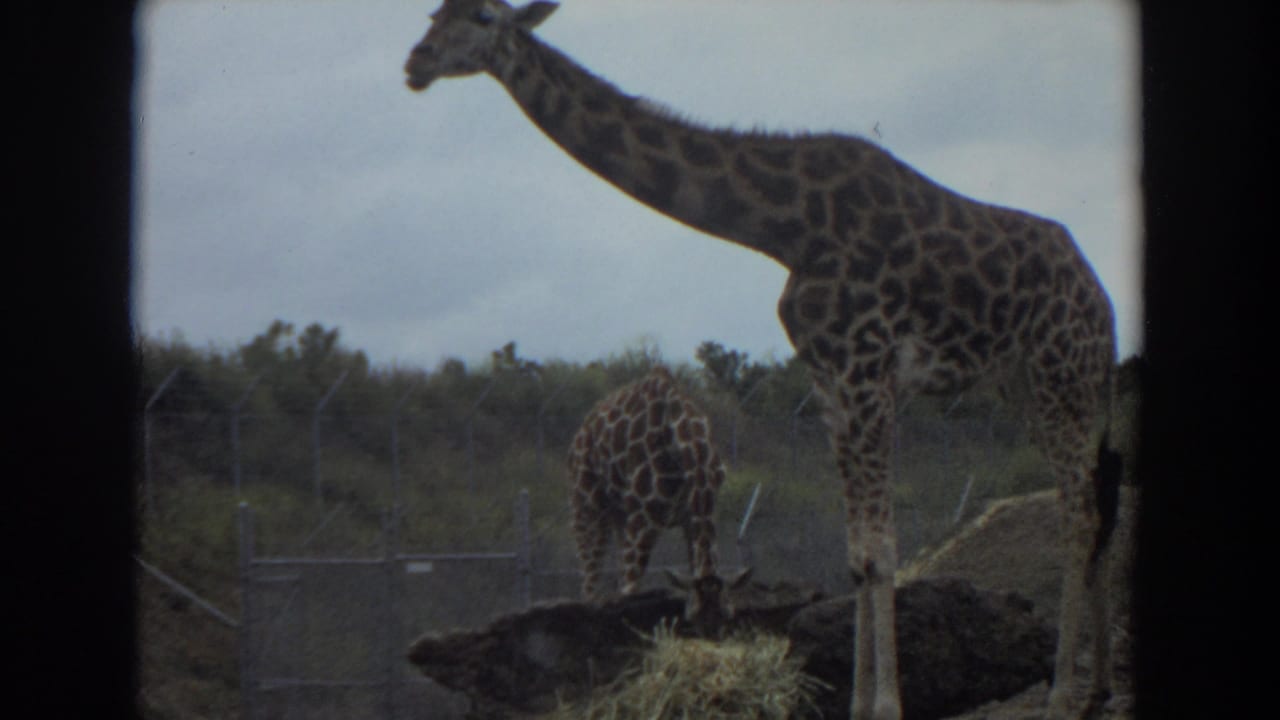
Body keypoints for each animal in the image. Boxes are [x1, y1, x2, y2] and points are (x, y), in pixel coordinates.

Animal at [568, 366, 748, 633]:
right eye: (693, 620)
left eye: (726, 619)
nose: (709, 637)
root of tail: (582, 430)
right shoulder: (644, 518)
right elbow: (631, 588)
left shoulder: (692, 516)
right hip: (587, 504)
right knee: (589, 579)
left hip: (620, 515)